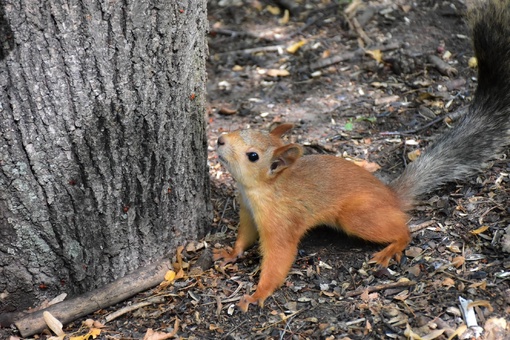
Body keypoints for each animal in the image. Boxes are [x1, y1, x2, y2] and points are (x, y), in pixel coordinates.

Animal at [212, 0, 510, 312]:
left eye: (253, 156)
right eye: (244, 127)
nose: (220, 139)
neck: (259, 190)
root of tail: (391, 196)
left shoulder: (282, 221)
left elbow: (279, 258)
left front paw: (257, 294)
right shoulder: (248, 213)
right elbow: (244, 237)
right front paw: (230, 253)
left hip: (356, 215)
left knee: (404, 229)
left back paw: (392, 247)